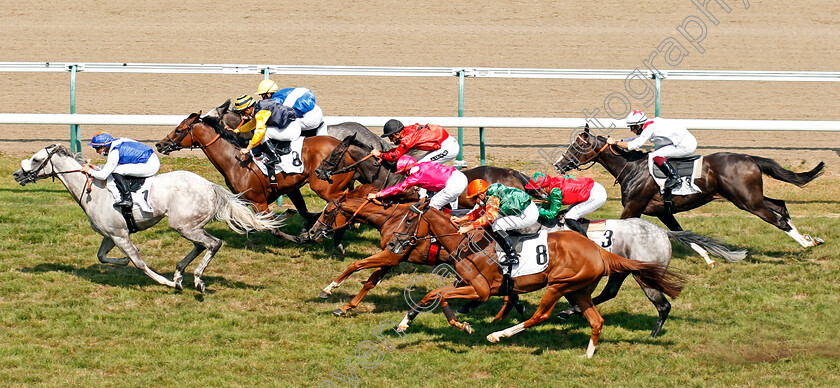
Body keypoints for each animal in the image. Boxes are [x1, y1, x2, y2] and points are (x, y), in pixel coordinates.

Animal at [13, 145, 282, 292]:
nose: (17, 174)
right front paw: (122, 261)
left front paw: (166, 283)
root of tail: (210, 186)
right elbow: (102, 256)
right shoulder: (111, 234)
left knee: (213, 244)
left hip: (183, 225)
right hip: (188, 225)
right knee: (201, 245)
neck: (93, 190)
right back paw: (179, 272)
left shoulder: (120, 235)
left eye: (36, 159)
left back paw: (195, 279)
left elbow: (140, 263)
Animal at [154, 110, 358, 242]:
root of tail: (345, 147)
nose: (160, 144)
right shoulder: (266, 195)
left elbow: (273, 229)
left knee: (341, 201)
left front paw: (301, 236)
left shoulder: (259, 201)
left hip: (325, 187)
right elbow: (248, 222)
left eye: (178, 130)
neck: (235, 161)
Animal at [392, 203, 684, 358]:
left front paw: (460, 325)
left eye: (408, 220)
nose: (393, 243)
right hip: (578, 290)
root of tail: (598, 249)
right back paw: (588, 353)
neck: (468, 243)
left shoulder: (481, 290)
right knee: (596, 319)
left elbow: (440, 296)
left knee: (540, 316)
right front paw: (407, 323)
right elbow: (433, 295)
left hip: (558, 285)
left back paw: (499, 335)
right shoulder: (468, 286)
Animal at [556, 126, 824, 249]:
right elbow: (685, 234)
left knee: (778, 219)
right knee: (781, 206)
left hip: (748, 202)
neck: (632, 168)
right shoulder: (663, 211)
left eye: (576, 147)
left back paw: (805, 244)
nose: (559, 164)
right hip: (751, 198)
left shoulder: (633, 207)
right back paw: (810, 238)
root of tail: (750, 158)